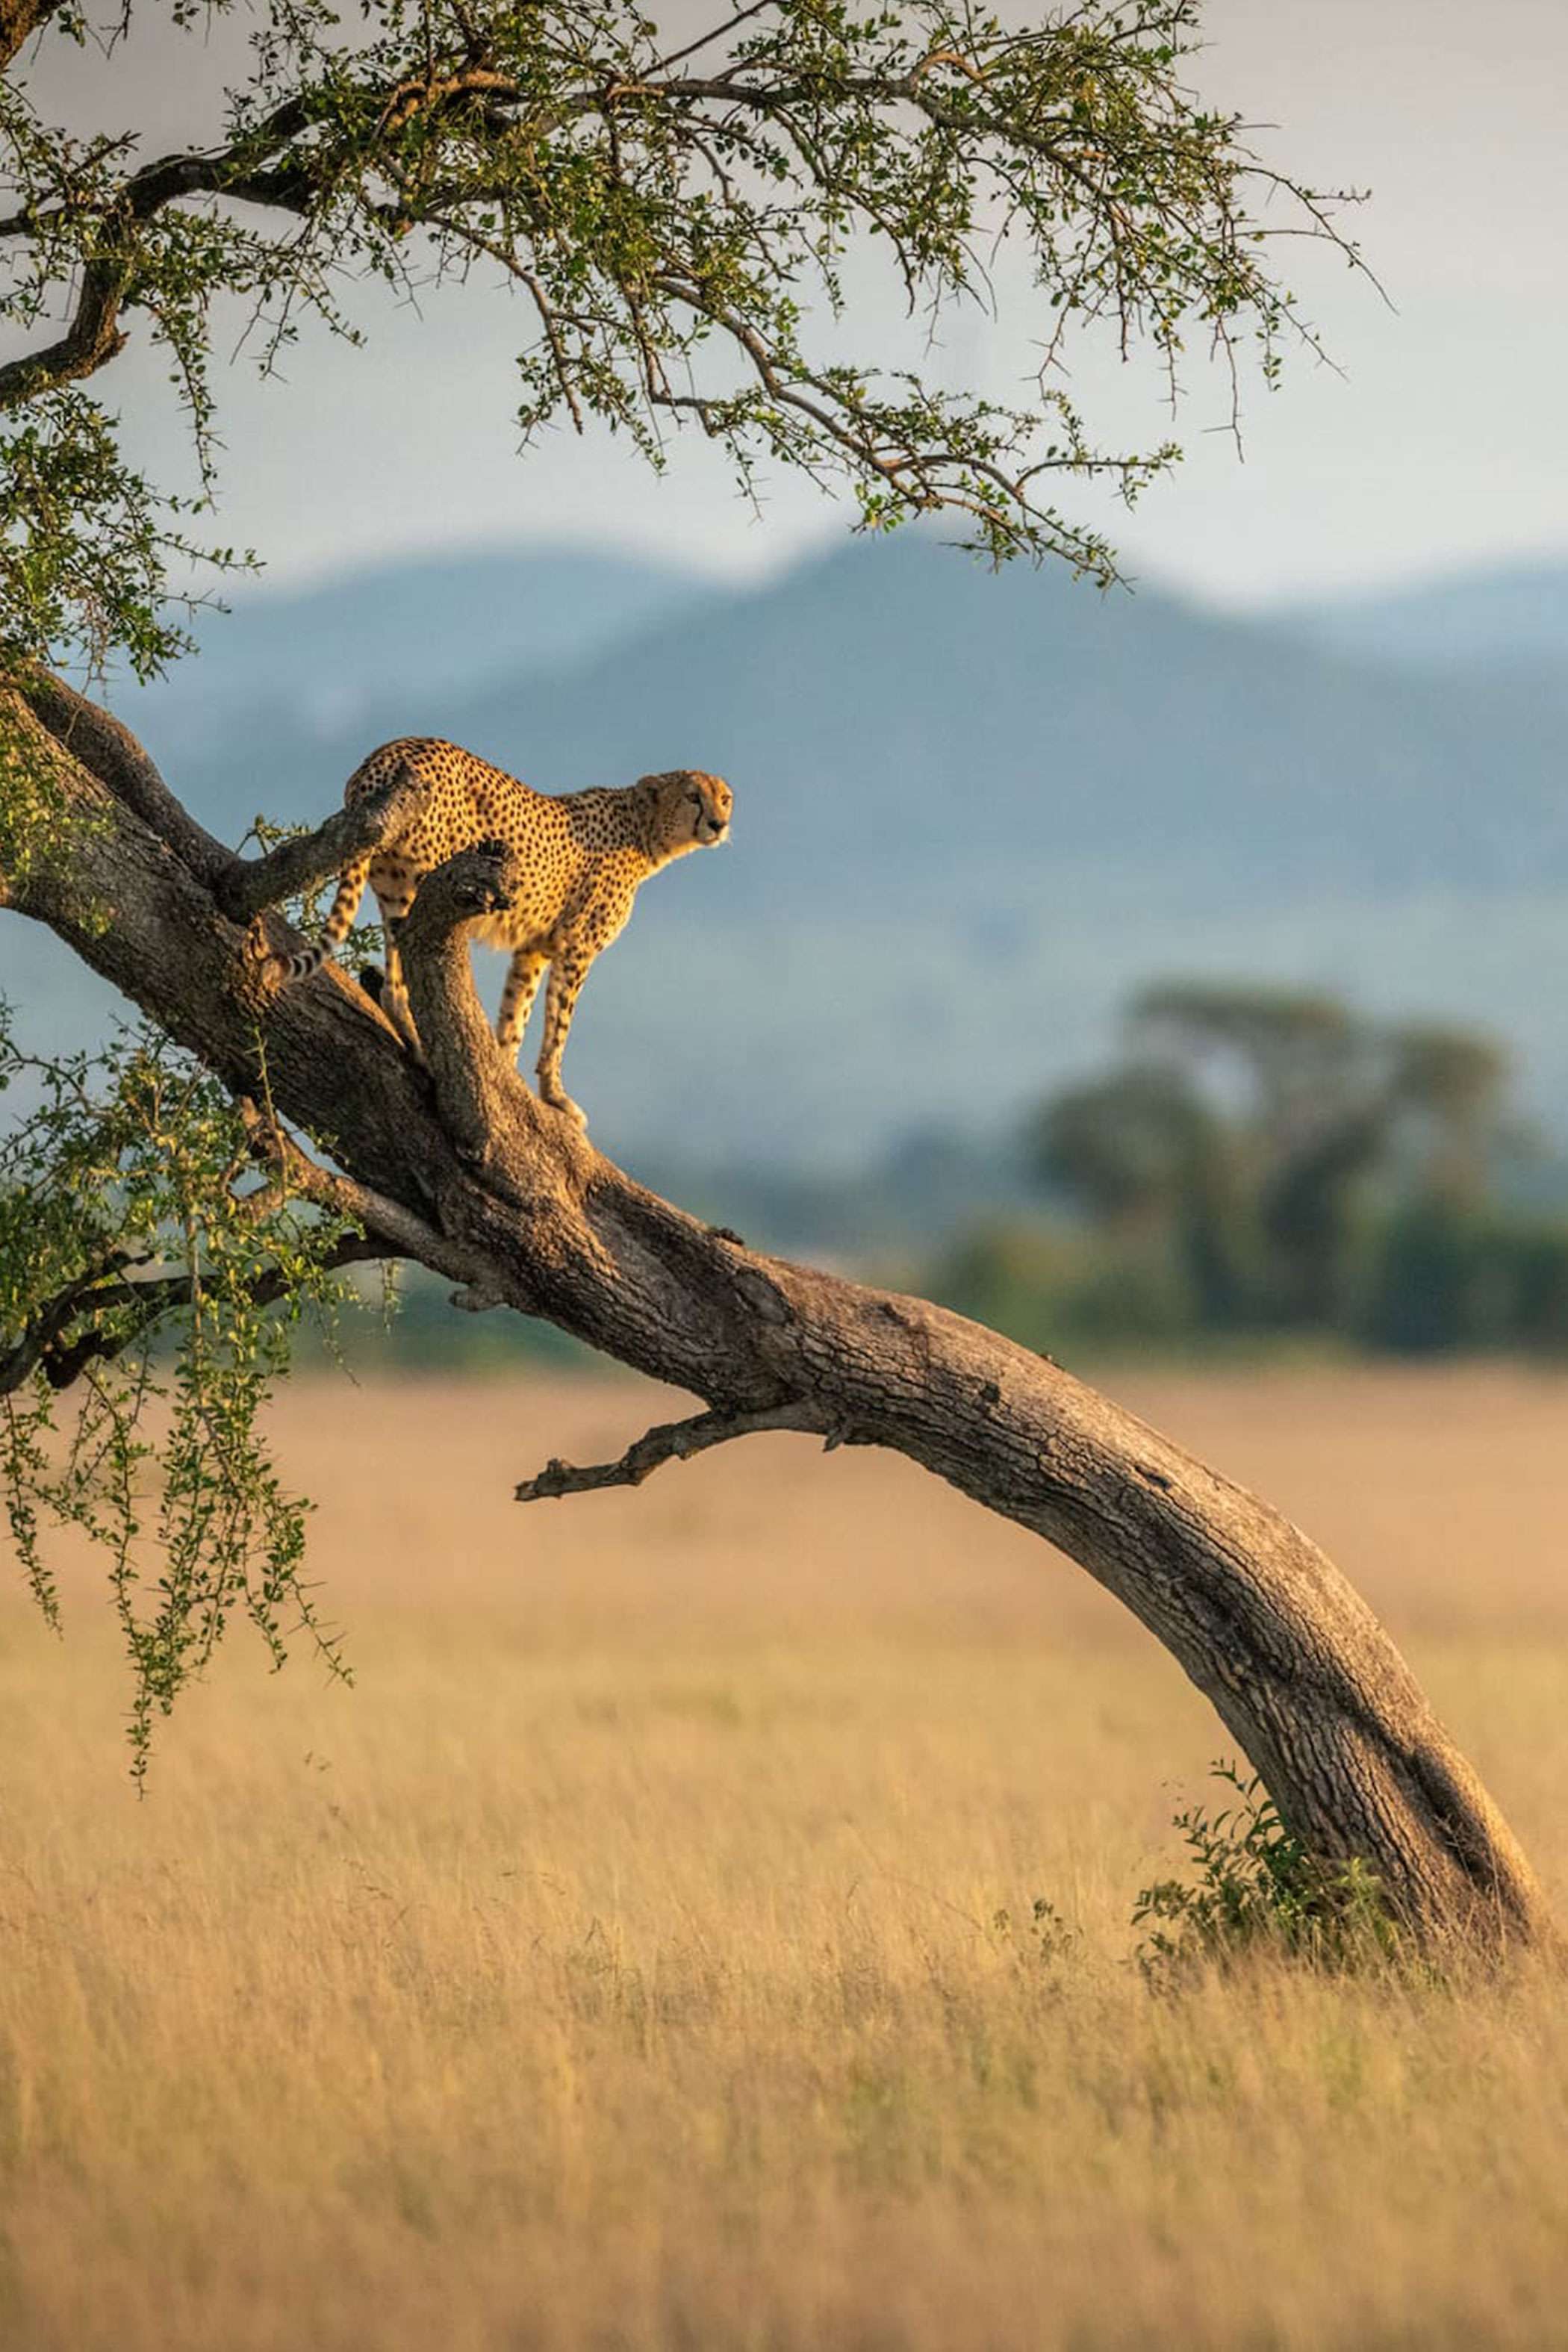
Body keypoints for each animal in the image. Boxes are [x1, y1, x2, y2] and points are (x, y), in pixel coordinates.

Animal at [276, 737, 733, 1127]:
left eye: (725, 798)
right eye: (693, 796)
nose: (718, 823)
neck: (645, 830)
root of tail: (387, 753)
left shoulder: (534, 950)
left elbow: (517, 1015)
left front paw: (507, 1079)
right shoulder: (577, 949)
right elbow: (559, 1027)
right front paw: (556, 1098)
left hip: (392, 890)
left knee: (393, 985)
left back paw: (419, 1046)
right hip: (433, 881)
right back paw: (428, 1050)